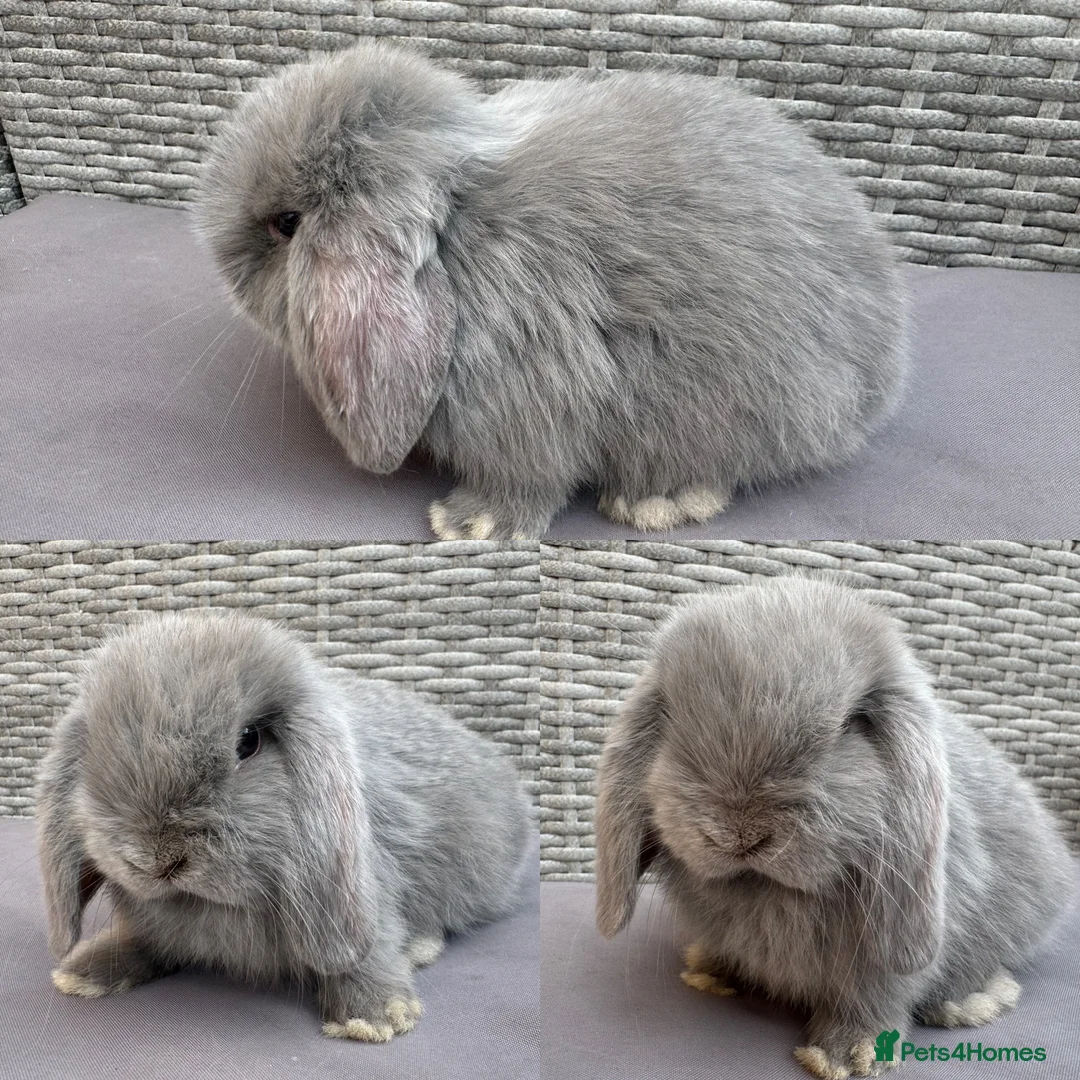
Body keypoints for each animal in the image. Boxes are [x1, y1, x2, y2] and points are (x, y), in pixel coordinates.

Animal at [36, 610, 531, 1043]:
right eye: (94, 750)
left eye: (248, 742)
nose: (157, 860)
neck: (209, 905)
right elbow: (142, 942)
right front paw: (85, 970)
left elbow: (370, 949)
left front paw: (376, 1017)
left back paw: (418, 949)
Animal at [196, 41, 909, 540]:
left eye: (287, 224)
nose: (220, 260)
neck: (458, 234)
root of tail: (882, 377)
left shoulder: (525, 410)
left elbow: (527, 480)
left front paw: (468, 526)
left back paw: (658, 500)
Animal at [594, 577, 1074, 1079]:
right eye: (671, 716)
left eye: (849, 726)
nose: (739, 835)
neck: (768, 891)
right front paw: (710, 972)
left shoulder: (888, 954)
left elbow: (875, 999)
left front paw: (847, 1057)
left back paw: (970, 1001)